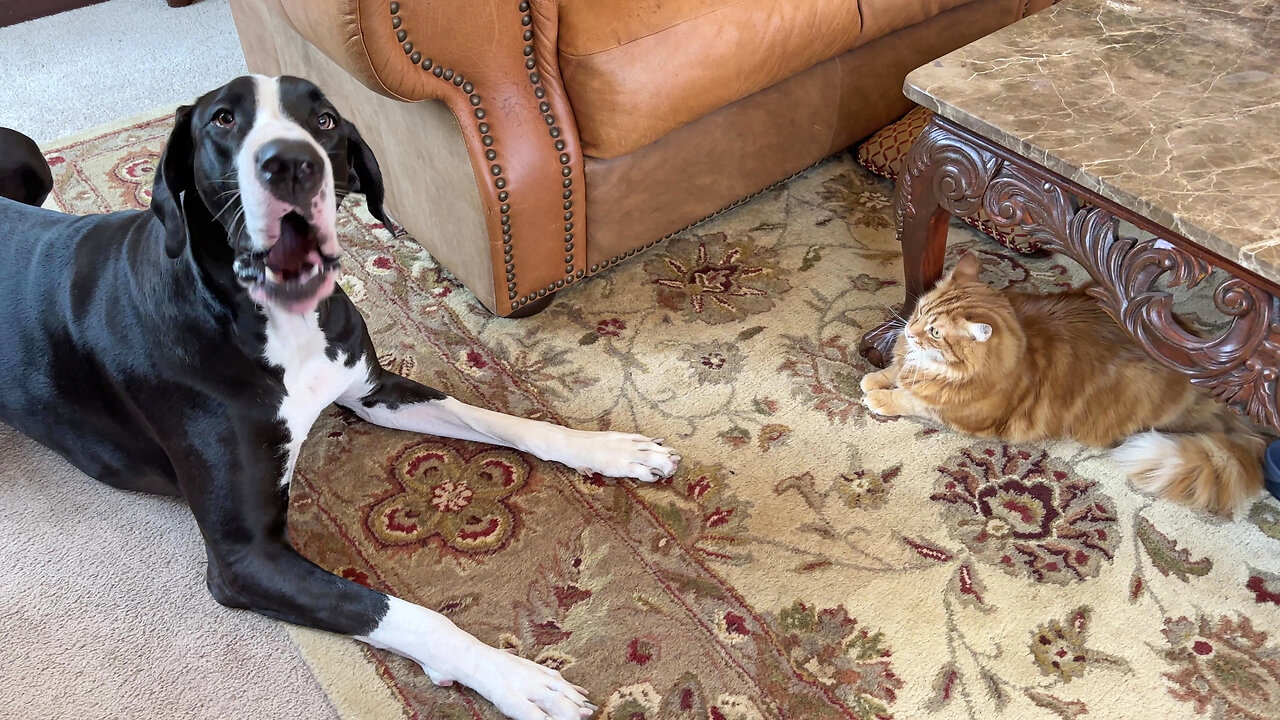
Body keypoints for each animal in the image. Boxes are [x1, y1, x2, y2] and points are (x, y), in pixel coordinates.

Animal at [865, 249, 1264, 512]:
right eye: (918, 311)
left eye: (934, 332)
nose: (910, 330)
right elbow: (895, 371)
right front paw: (876, 377)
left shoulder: (959, 413)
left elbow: (915, 400)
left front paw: (880, 396)